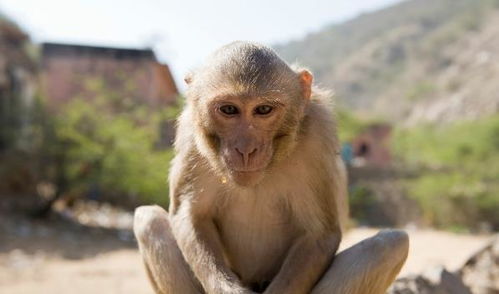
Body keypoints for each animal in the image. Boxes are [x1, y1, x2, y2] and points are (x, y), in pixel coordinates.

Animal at [134, 41, 410, 294]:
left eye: (263, 109)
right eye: (229, 109)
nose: (246, 149)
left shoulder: (319, 133)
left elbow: (320, 233)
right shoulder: (191, 135)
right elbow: (190, 216)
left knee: (391, 243)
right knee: (149, 218)